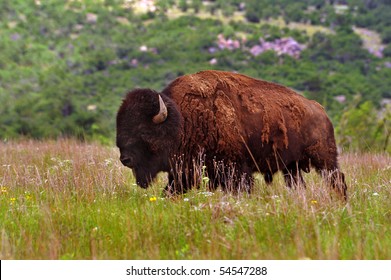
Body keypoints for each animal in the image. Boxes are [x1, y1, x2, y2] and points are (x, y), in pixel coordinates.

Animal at [117, 71, 350, 200]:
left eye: (144, 131)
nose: (125, 159)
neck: (182, 120)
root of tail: (320, 110)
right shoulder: (186, 172)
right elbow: (171, 190)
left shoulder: (235, 169)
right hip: (291, 167)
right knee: (297, 183)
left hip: (324, 159)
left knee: (337, 180)